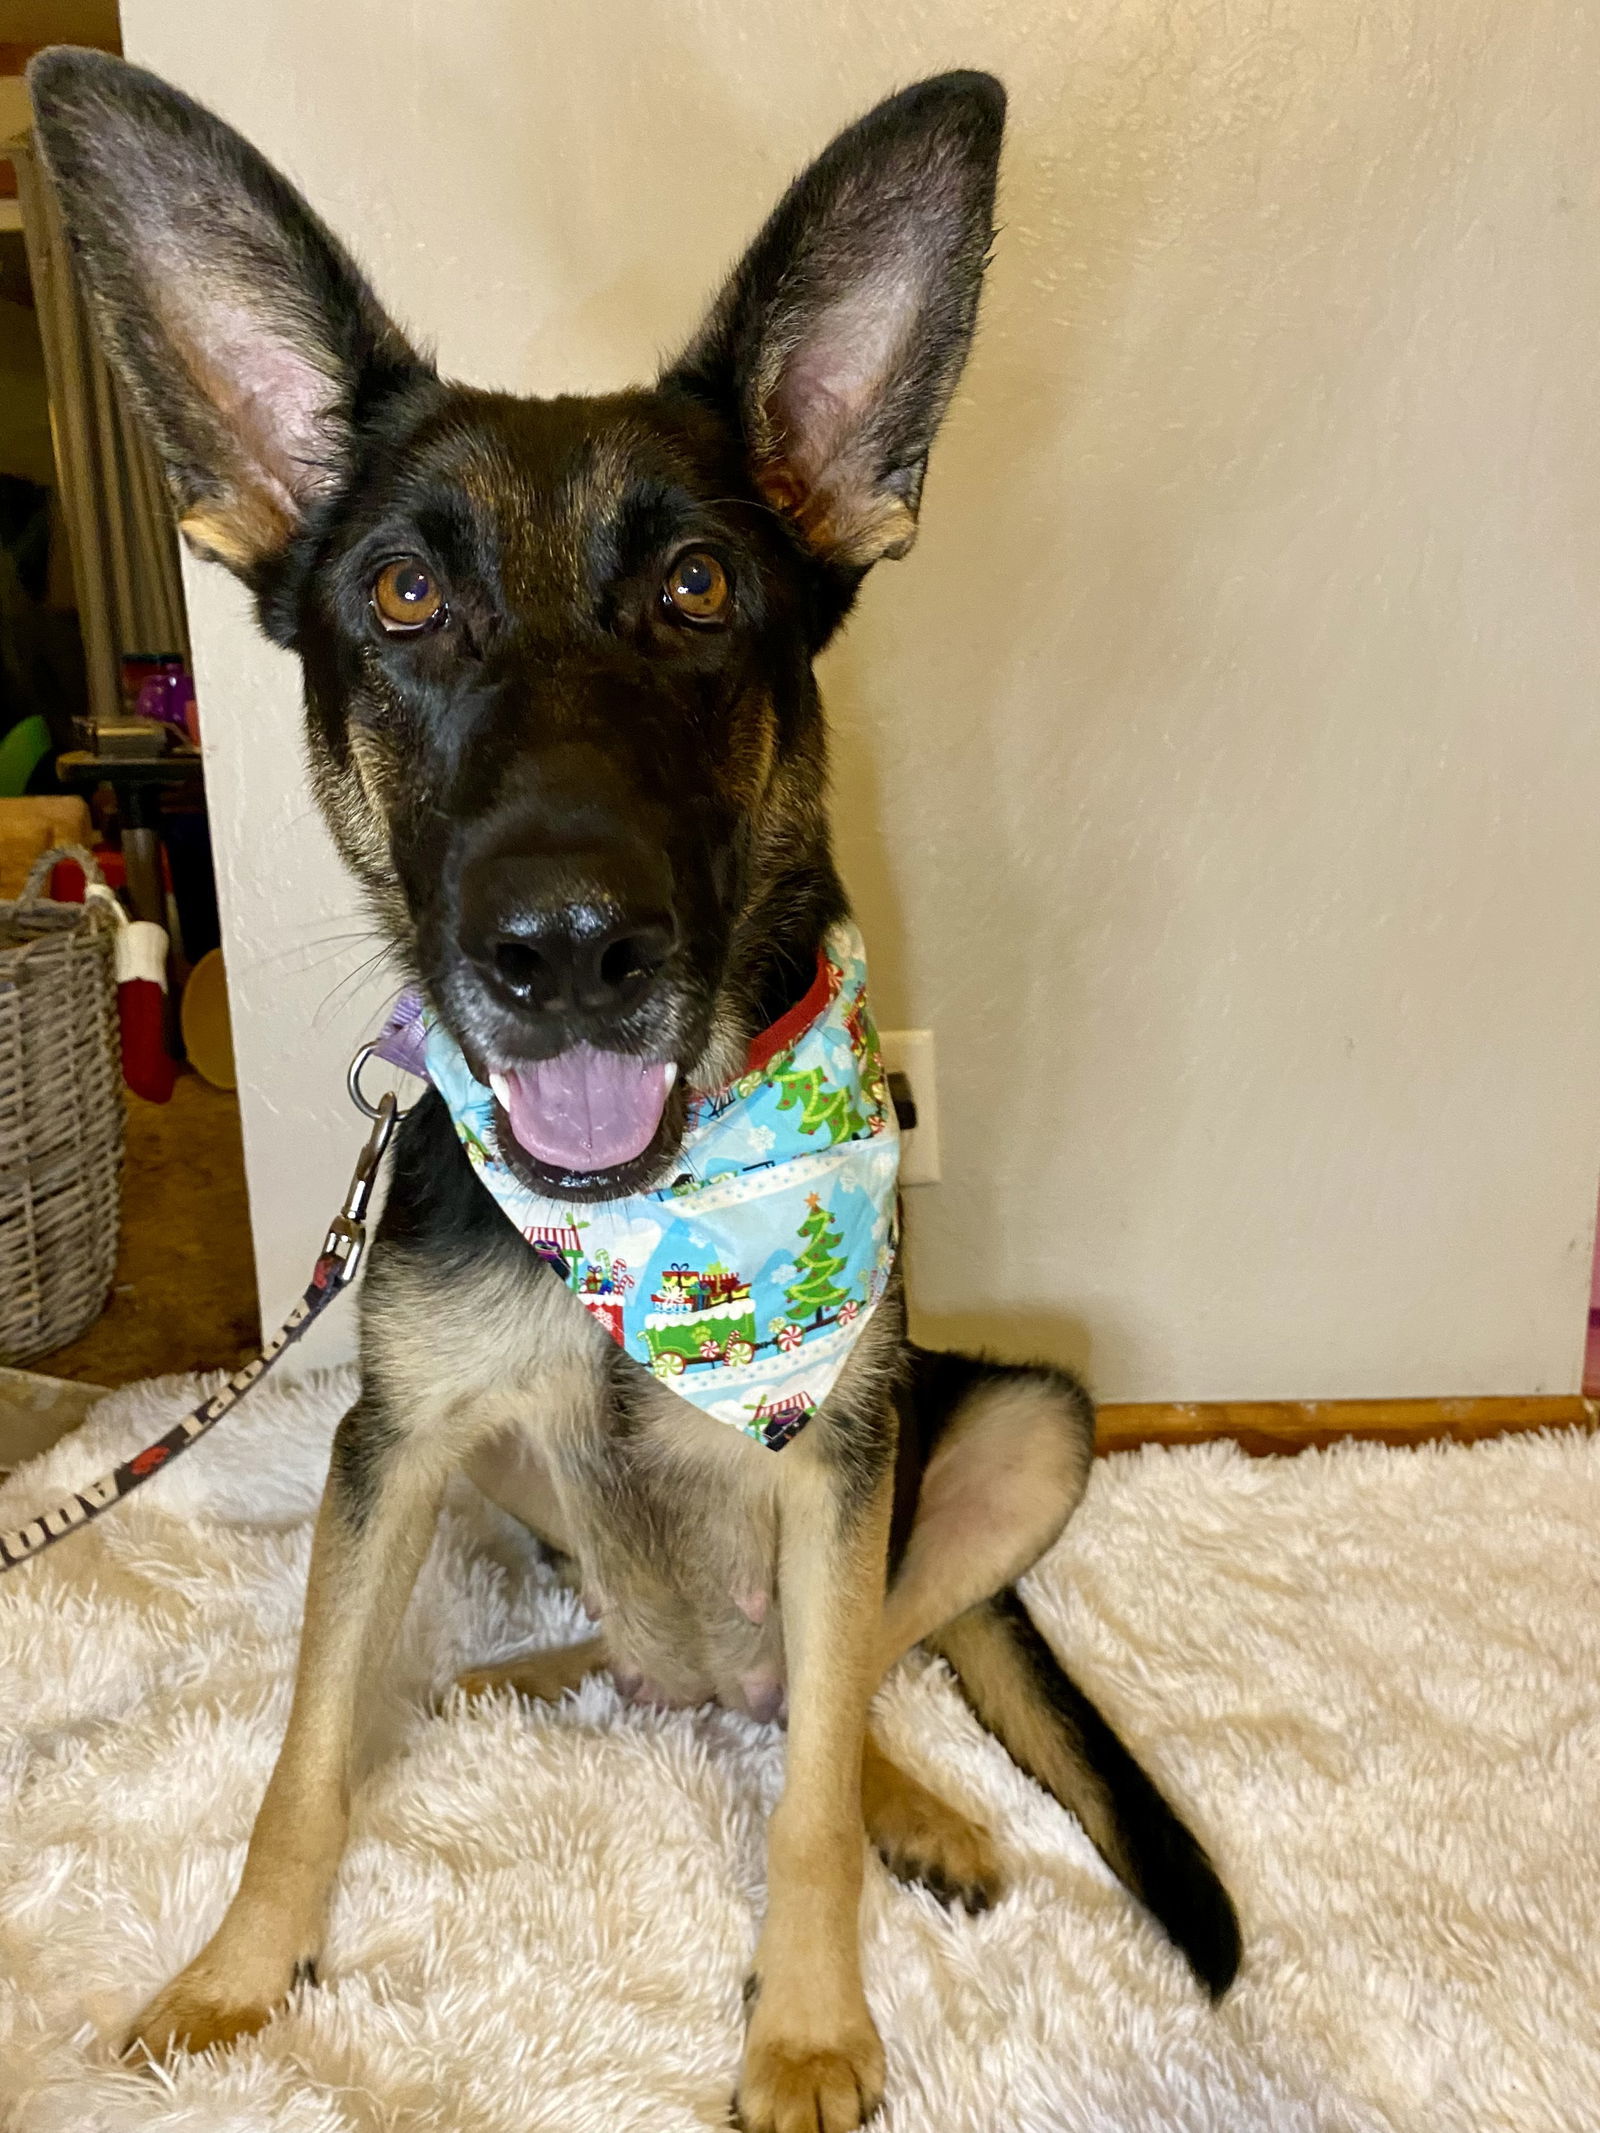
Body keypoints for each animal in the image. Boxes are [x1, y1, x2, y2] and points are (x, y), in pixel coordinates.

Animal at [31, 50, 1245, 2133]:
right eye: (403, 594)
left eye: (697, 583)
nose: (569, 946)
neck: (658, 1226)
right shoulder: (388, 1448)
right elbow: (297, 1759)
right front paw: (237, 1974)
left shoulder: (841, 1456)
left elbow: (814, 1785)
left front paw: (811, 2024)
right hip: (500, 1483)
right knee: (623, 1657)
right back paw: (507, 1682)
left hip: (1015, 1427)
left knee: (829, 1687)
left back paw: (905, 1794)